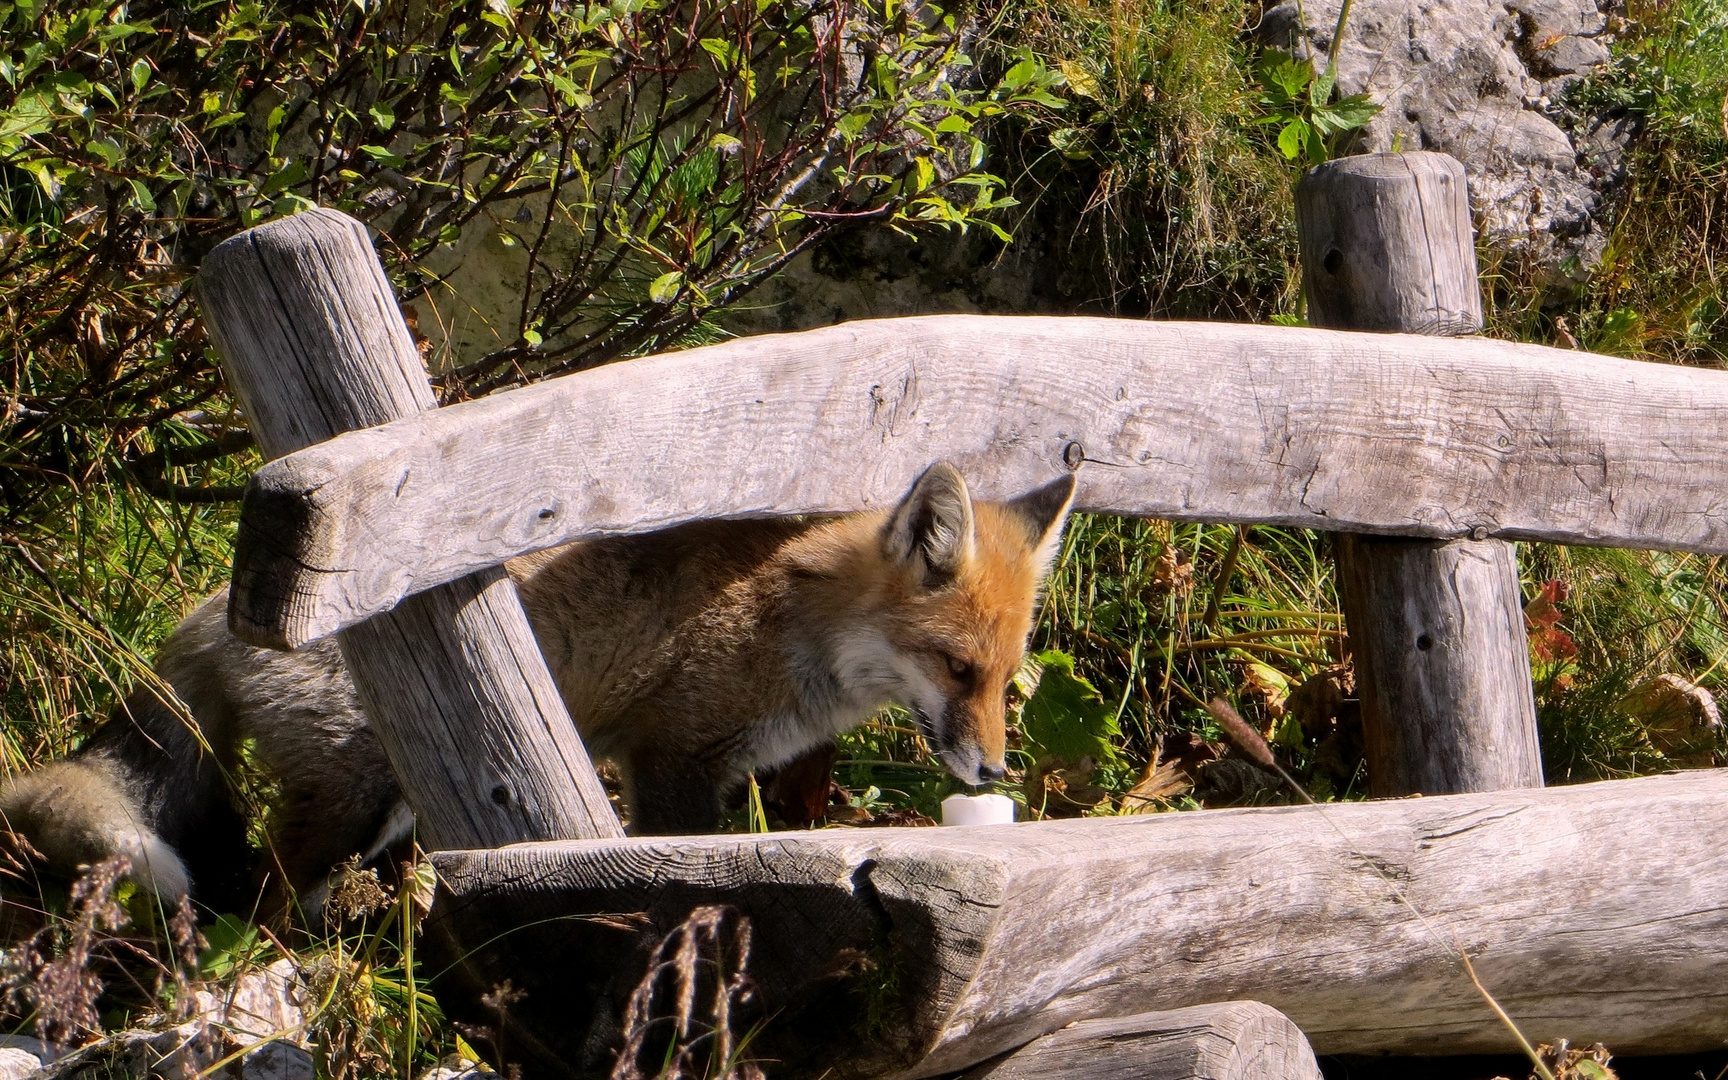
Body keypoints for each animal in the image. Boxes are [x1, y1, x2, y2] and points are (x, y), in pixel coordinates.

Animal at [0, 463, 1071, 912]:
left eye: (1005, 678)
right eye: (957, 668)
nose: (993, 770)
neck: (791, 625)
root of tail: (212, 611)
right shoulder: (671, 756)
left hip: (389, 808)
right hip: (352, 801)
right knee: (260, 900)